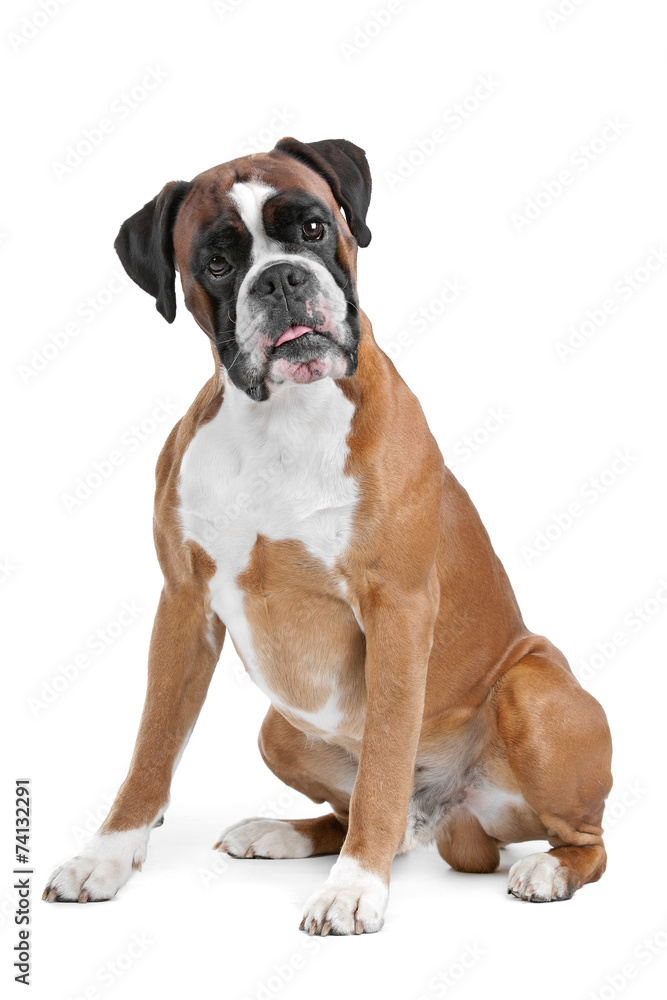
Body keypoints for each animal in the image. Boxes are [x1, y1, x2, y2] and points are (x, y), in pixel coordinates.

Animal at [44, 137, 612, 932]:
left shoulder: (397, 611)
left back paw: (547, 870)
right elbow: (152, 748)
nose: (281, 278)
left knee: (582, 838)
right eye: (216, 262)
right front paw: (105, 856)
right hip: (278, 730)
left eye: (313, 229)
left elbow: (383, 765)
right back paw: (280, 833)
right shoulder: (183, 605)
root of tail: (450, 815)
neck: (281, 415)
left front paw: (353, 890)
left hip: (530, 690)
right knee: (364, 818)